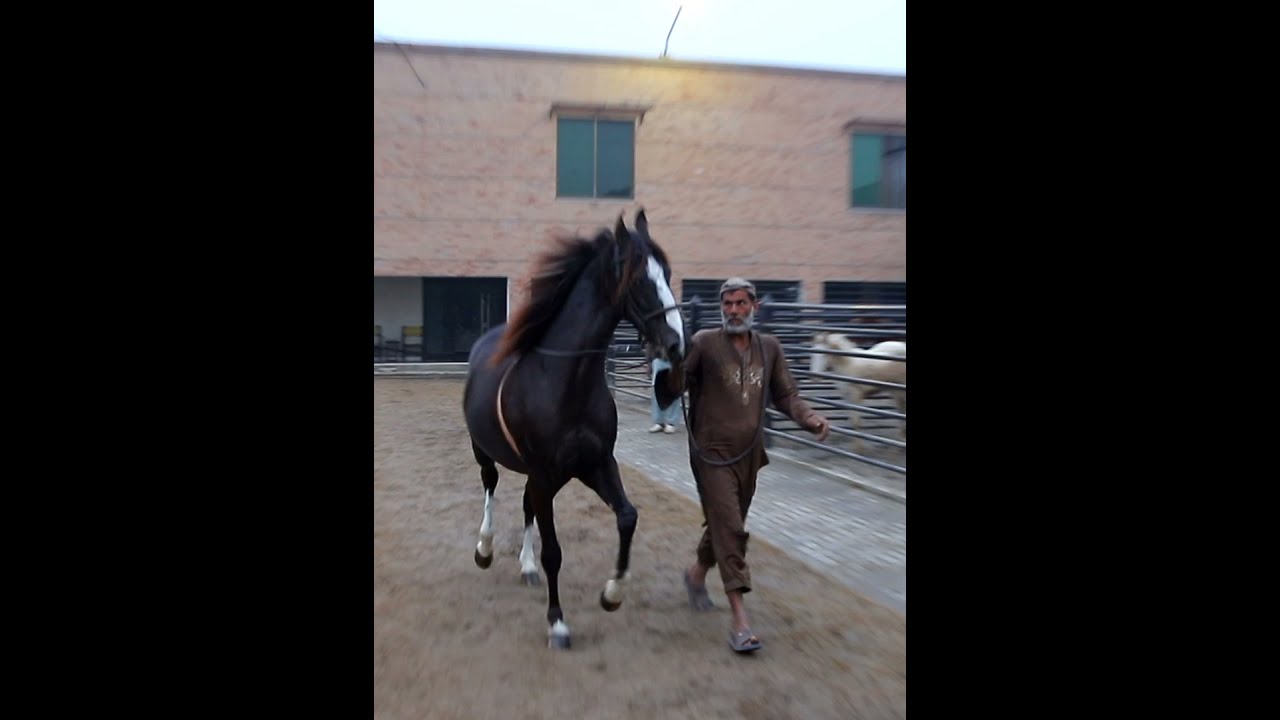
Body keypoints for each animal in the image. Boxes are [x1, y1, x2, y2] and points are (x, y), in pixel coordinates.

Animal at [461, 209, 686, 650]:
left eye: (668, 273)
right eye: (638, 280)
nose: (675, 345)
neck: (566, 382)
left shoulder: (595, 465)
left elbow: (628, 517)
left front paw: (612, 594)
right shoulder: (546, 475)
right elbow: (554, 552)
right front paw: (558, 624)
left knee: (526, 505)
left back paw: (526, 568)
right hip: (485, 452)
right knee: (490, 488)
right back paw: (485, 549)